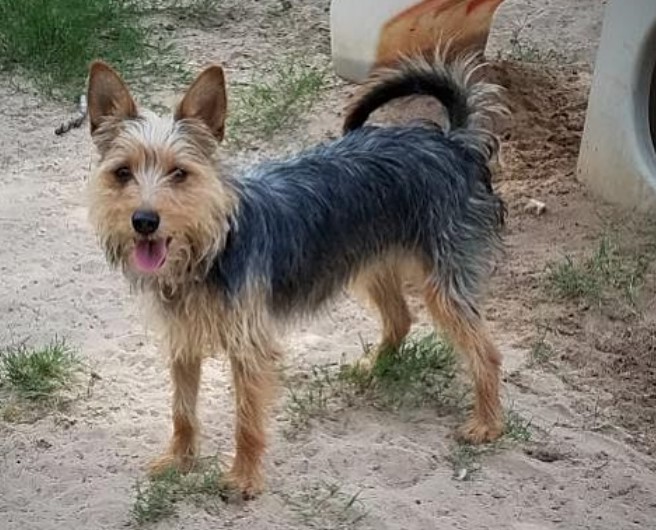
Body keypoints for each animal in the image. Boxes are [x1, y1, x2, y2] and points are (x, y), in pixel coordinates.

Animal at [86, 49, 508, 496]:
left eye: (180, 173)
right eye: (122, 173)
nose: (144, 221)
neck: (210, 249)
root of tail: (452, 143)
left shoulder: (249, 348)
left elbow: (247, 421)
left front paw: (244, 478)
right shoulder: (183, 343)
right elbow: (182, 411)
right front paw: (180, 461)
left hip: (443, 284)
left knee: (486, 351)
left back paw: (487, 423)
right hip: (370, 262)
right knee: (400, 318)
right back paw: (375, 369)